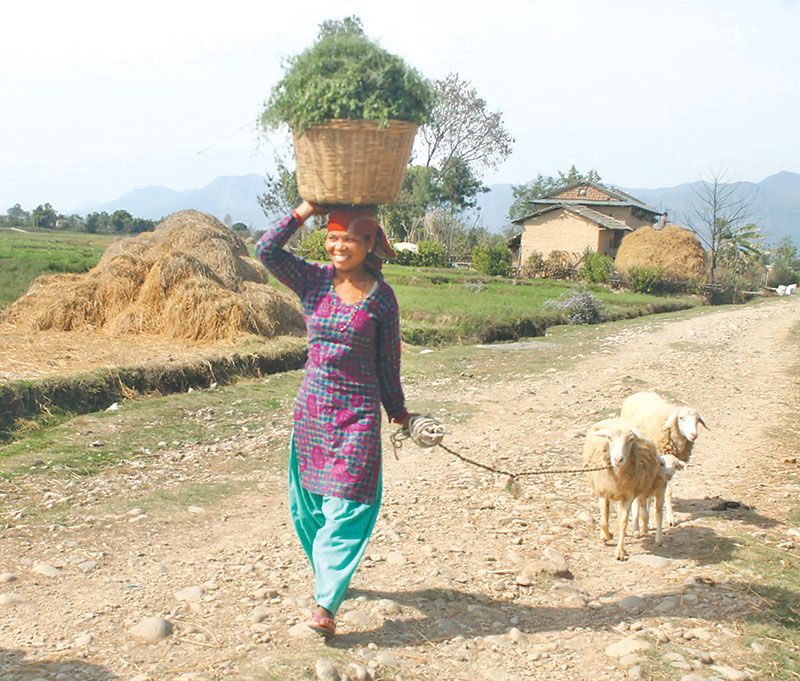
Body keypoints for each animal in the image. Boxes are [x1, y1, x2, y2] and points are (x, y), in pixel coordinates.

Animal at [580, 418, 668, 560]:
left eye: (631, 440)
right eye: (609, 438)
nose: (618, 459)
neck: (618, 474)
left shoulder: (629, 496)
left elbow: (623, 522)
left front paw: (620, 551)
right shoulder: (603, 493)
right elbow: (603, 521)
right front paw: (608, 535)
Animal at [620, 390, 708, 528]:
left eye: (697, 420)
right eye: (681, 418)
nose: (693, 435)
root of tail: (640, 392)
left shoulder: (670, 466)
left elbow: (668, 491)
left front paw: (669, 517)